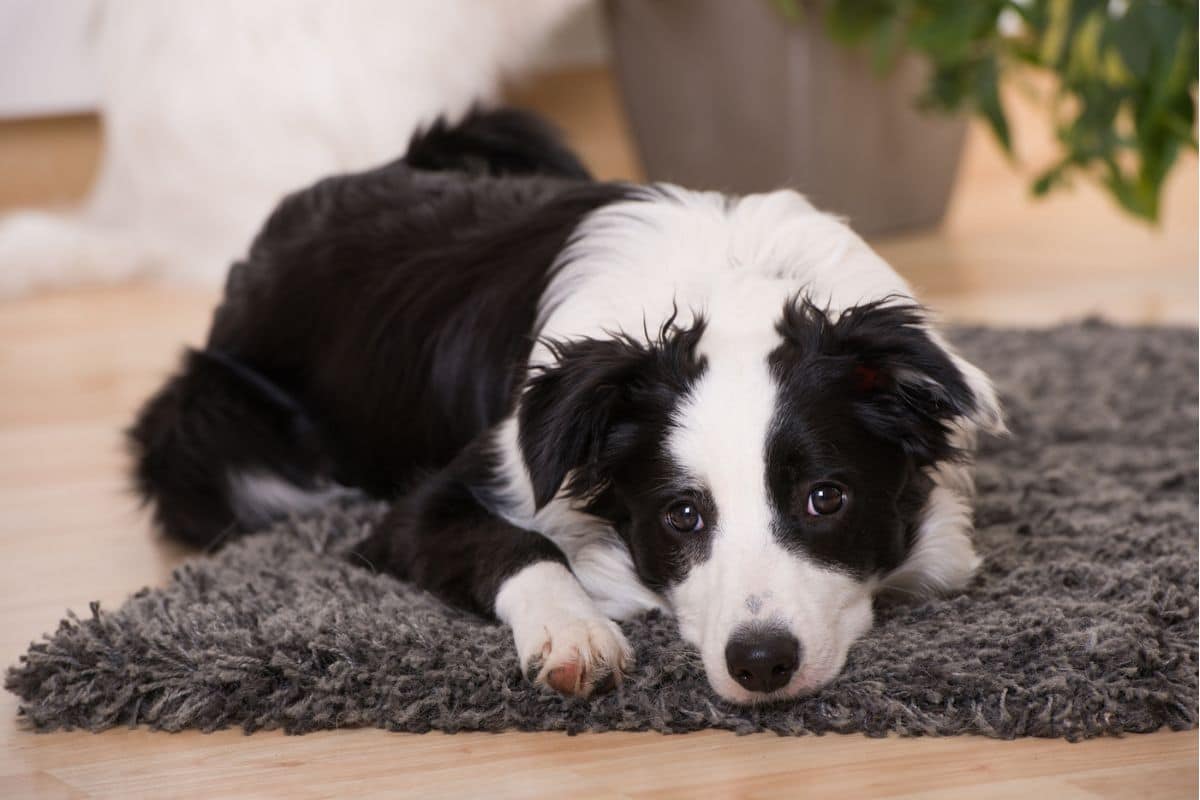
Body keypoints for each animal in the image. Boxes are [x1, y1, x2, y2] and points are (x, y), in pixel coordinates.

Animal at [129, 109, 1003, 705]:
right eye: (682, 515)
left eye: (827, 498)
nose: (761, 664)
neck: (730, 289)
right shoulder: (428, 505)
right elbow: (520, 544)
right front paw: (574, 631)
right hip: (214, 437)